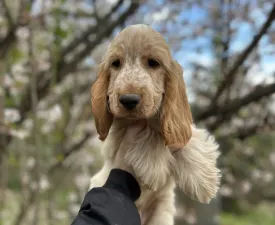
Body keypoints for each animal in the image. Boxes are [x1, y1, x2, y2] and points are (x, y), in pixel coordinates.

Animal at [89, 24, 221, 225]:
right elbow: (148, 130)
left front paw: (203, 181)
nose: (128, 100)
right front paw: (153, 167)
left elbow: (186, 136)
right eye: (115, 63)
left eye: (153, 62)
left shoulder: (178, 124)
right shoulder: (118, 132)